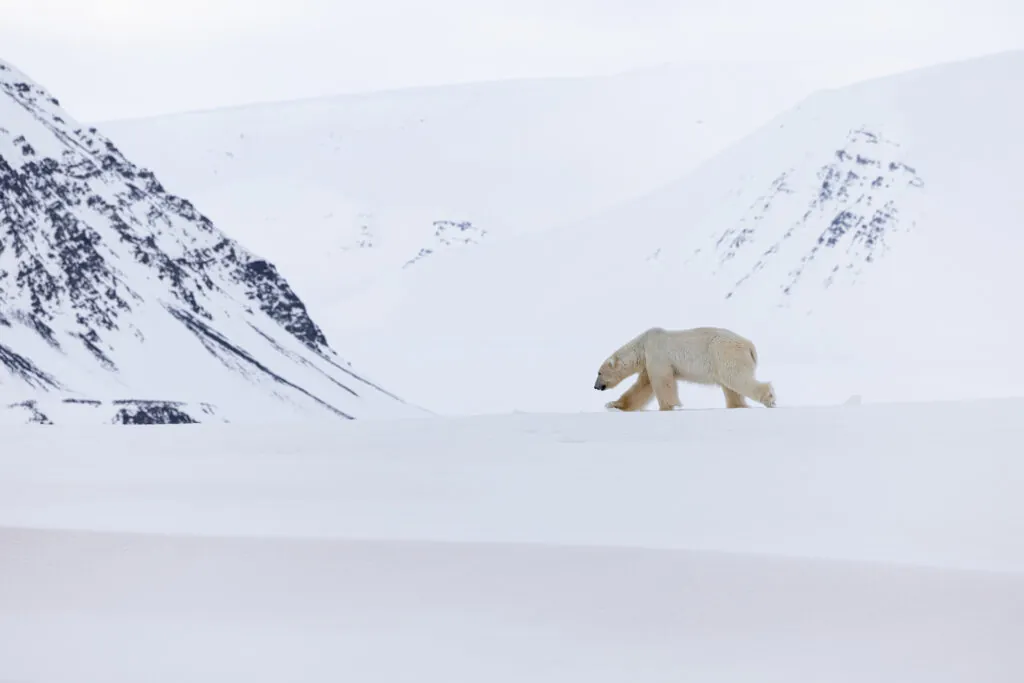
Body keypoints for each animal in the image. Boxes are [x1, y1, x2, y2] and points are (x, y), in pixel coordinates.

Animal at [593, 325, 774, 411]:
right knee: (731, 387)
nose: (595, 386)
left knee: (736, 378)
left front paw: (668, 406)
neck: (642, 345)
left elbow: (661, 381)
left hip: (724, 353)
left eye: (599, 373)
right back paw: (737, 405)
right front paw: (613, 405)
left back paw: (769, 398)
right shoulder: (649, 361)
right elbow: (642, 386)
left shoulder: (657, 355)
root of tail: (749, 346)